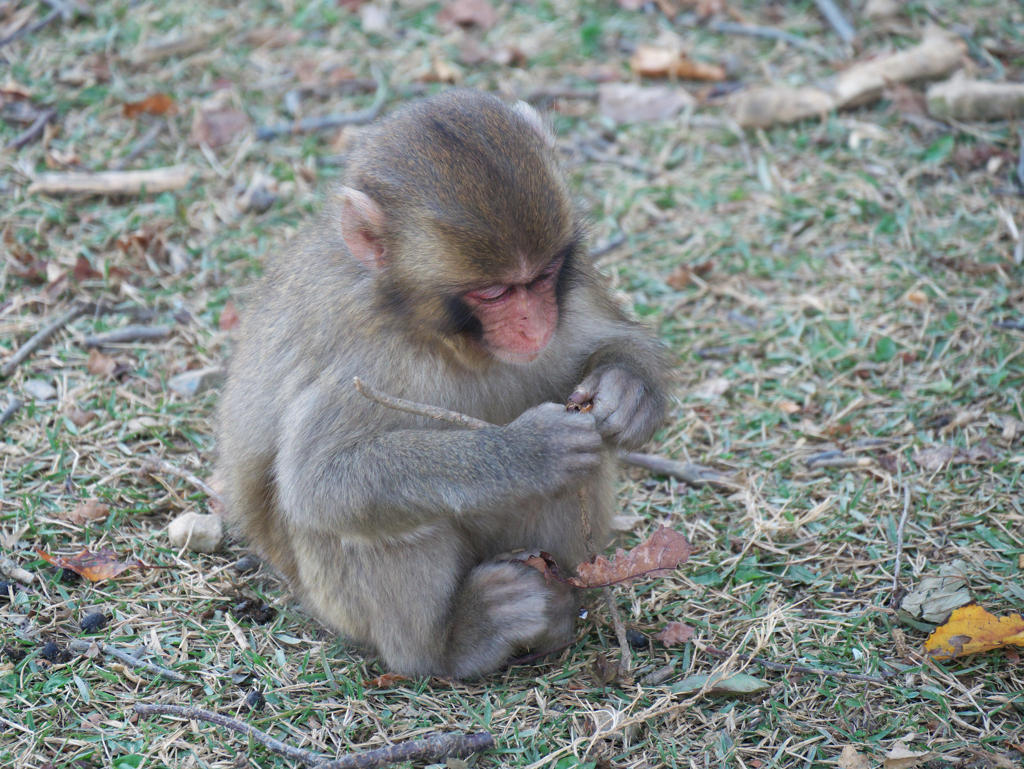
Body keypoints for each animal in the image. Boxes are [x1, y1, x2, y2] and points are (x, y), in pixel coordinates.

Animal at [216, 90, 671, 679]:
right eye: (495, 292)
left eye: (544, 275)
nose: (535, 327)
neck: (443, 336)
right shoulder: (365, 352)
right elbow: (321, 481)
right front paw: (524, 452)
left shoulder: (574, 286)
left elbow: (612, 340)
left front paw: (627, 391)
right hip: (334, 601)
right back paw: (455, 641)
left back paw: (557, 610)